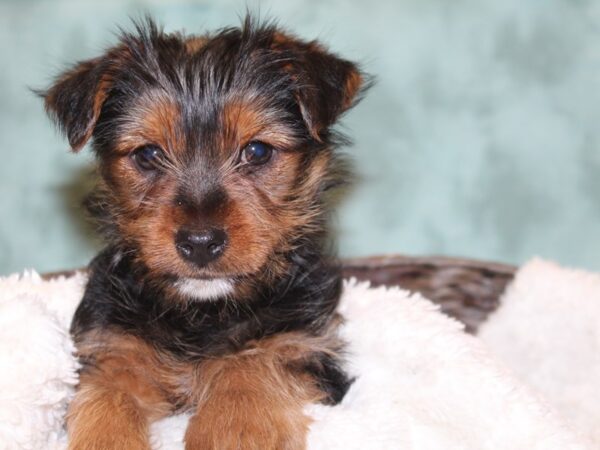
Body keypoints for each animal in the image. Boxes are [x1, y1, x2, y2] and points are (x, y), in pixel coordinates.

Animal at [43, 15, 366, 450]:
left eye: (257, 152)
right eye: (148, 155)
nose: (199, 244)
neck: (203, 312)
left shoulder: (303, 342)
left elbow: (251, 359)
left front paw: (232, 426)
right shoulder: (113, 345)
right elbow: (107, 392)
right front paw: (108, 435)